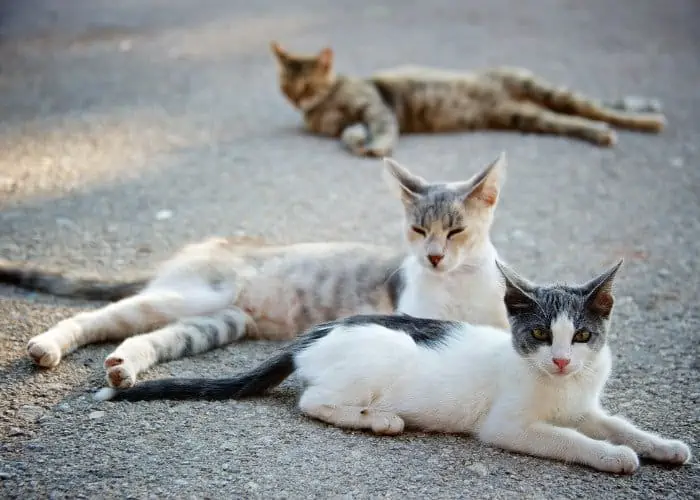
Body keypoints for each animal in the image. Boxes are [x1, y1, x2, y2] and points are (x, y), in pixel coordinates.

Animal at [2, 154, 512, 388]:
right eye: (418, 229)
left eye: (456, 231)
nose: (433, 257)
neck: (459, 283)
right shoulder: (412, 311)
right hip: (191, 295)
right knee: (96, 317)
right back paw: (48, 346)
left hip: (215, 323)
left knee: (146, 338)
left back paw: (122, 367)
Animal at [270, 42, 668, 157]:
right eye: (288, 86)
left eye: (308, 84)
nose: (299, 99)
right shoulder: (350, 119)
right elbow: (349, 131)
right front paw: (356, 140)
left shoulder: (376, 107)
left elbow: (382, 128)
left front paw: (375, 146)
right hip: (528, 116)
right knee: (571, 120)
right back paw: (601, 133)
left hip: (544, 90)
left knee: (595, 108)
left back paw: (648, 121)